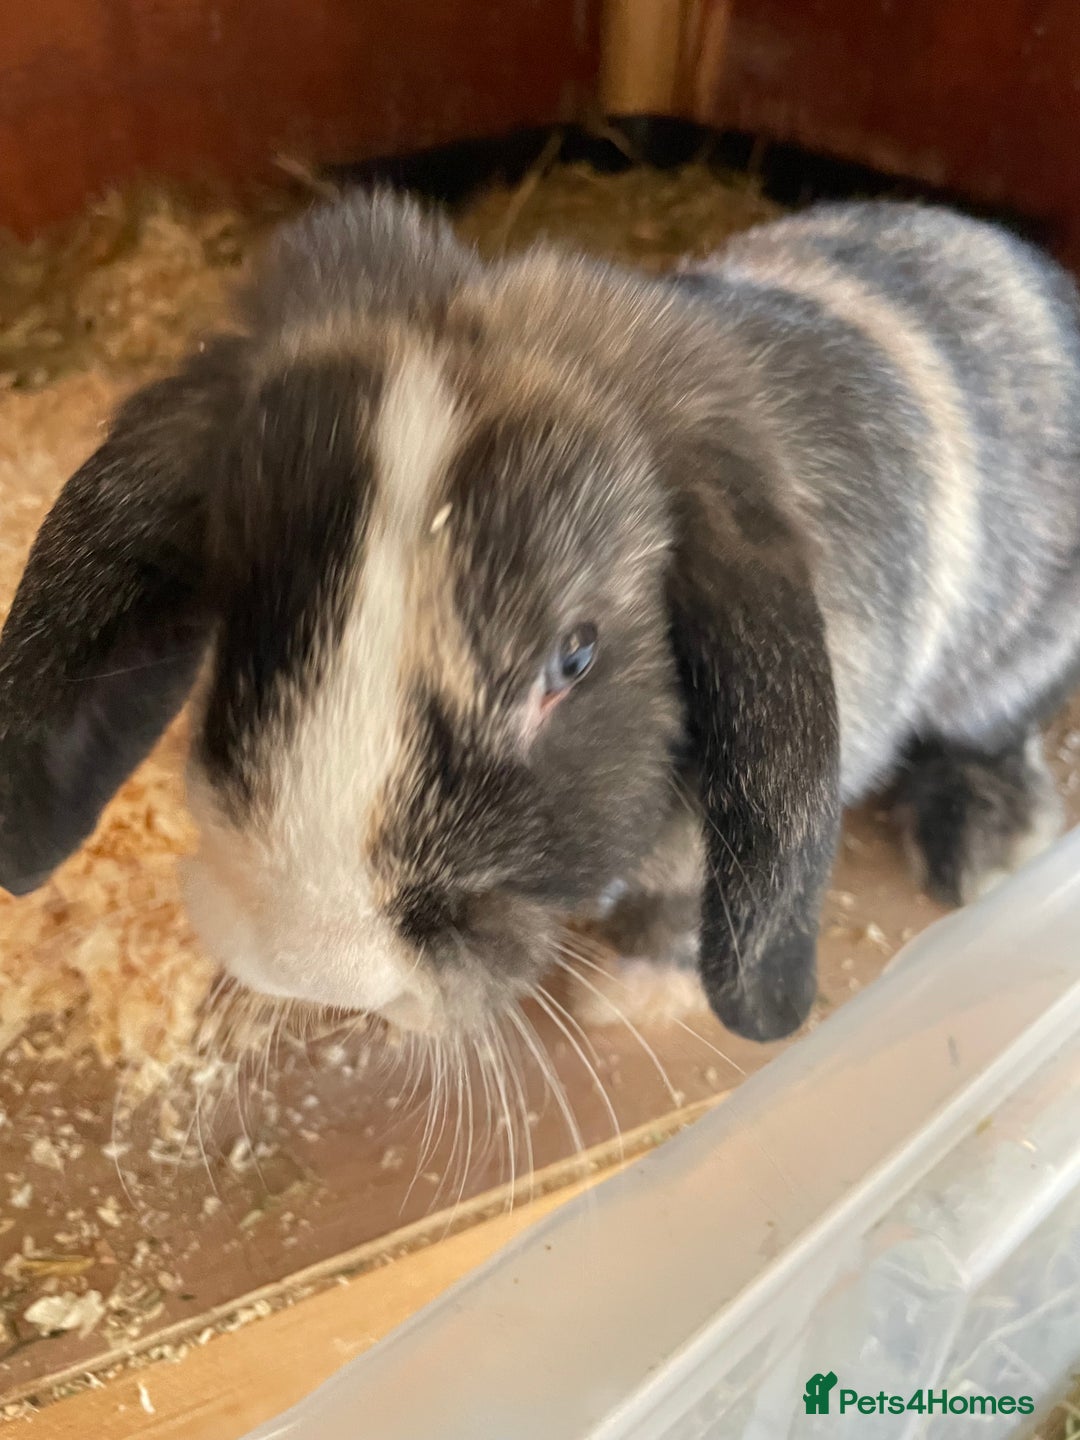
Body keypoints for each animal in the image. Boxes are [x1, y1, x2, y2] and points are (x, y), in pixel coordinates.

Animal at [0, 190, 1077, 1045]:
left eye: (573, 659)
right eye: (237, 607)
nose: (314, 965)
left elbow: (686, 909)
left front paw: (624, 996)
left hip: (1009, 664)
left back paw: (981, 849)